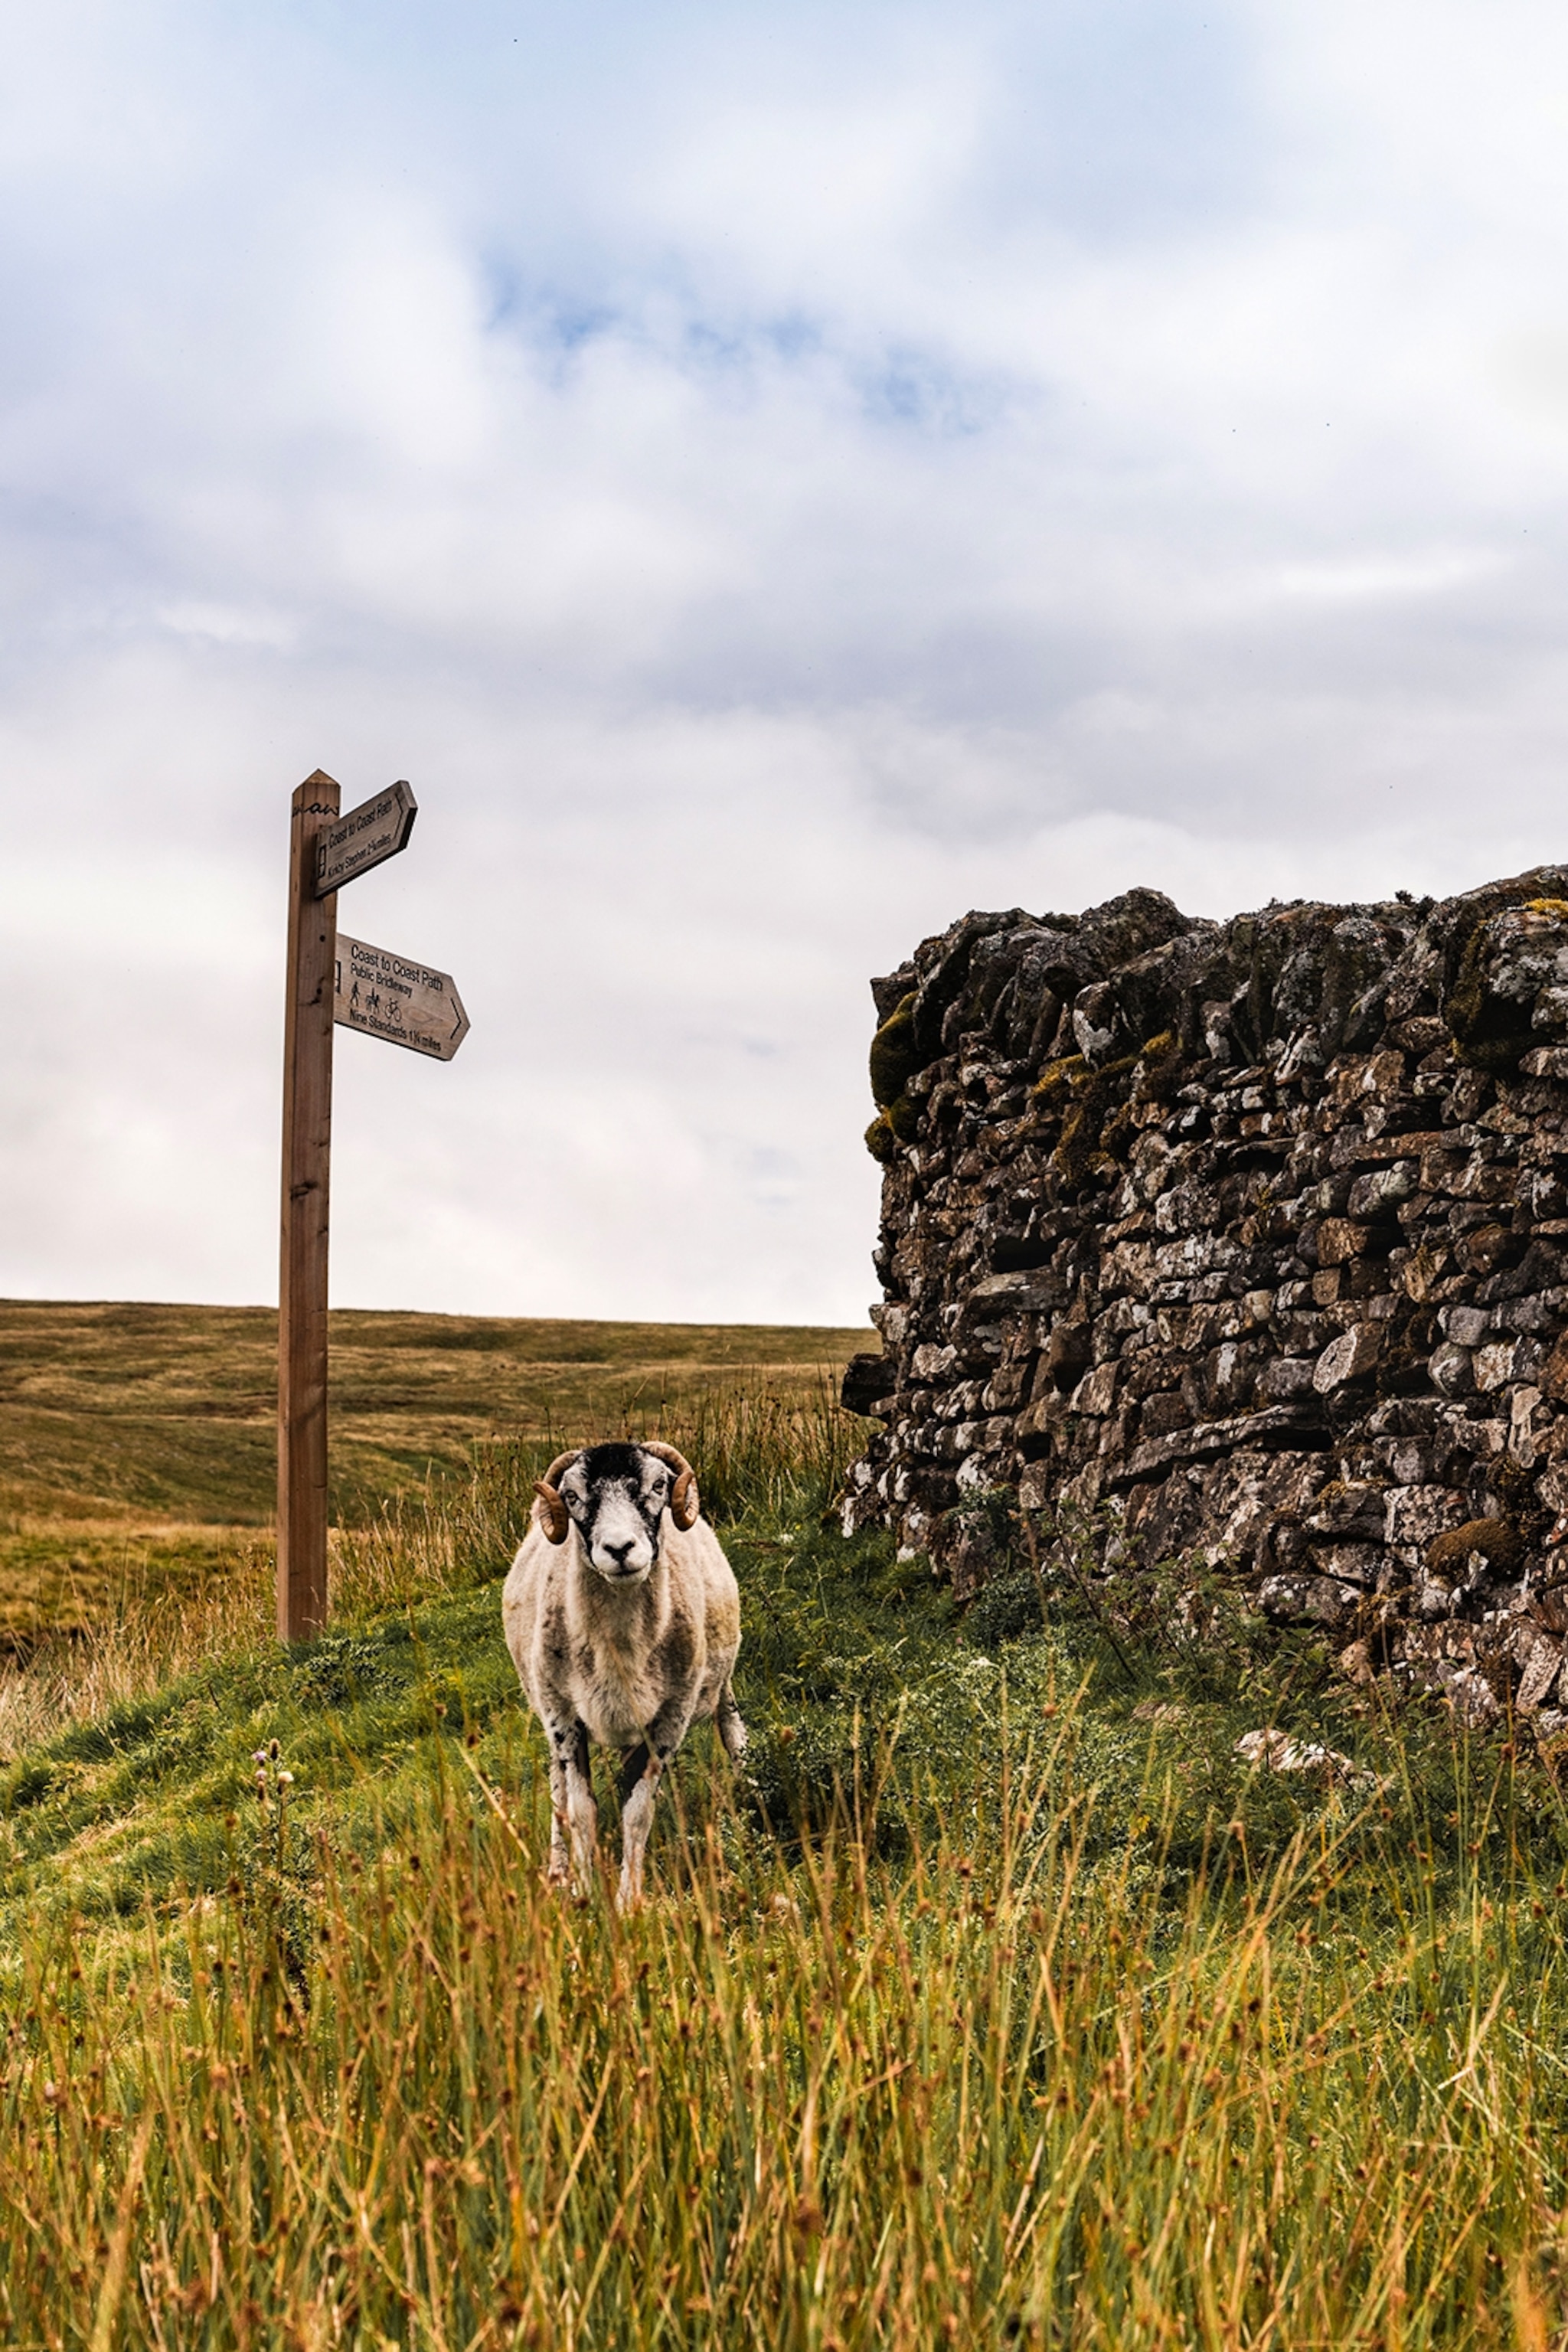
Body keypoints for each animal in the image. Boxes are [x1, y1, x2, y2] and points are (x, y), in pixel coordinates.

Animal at [502, 1440, 746, 1907]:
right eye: (572, 1496)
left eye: (658, 1485)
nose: (619, 1549)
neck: (618, 1646)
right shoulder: (564, 1717)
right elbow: (580, 1809)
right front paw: (584, 1893)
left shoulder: (668, 1720)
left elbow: (637, 1812)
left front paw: (628, 1901)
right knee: (558, 1789)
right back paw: (558, 1869)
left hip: (719, 1684)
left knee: (732, 1731)